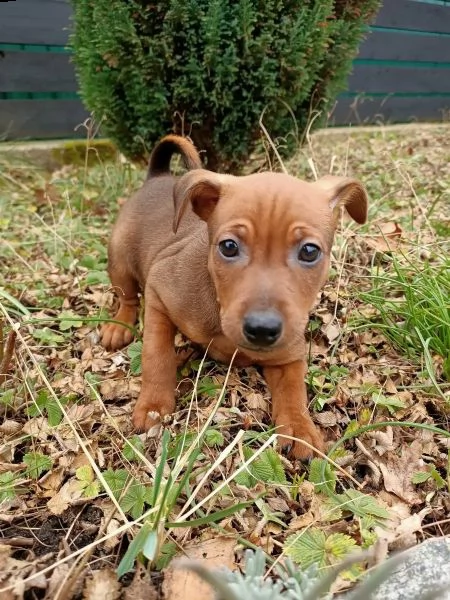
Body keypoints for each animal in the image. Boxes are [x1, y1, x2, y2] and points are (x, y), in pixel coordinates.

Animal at [100, 134, 368, 458]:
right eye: (228, 246)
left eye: (309, 251)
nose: (262, 329)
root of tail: (158, 176)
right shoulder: (159, 293)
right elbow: (157, 354)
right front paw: (153, 405)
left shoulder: (289, 356)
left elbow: (294, 390)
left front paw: (300, 427)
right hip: (120, 261)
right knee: (127, 297)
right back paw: (118, 327)